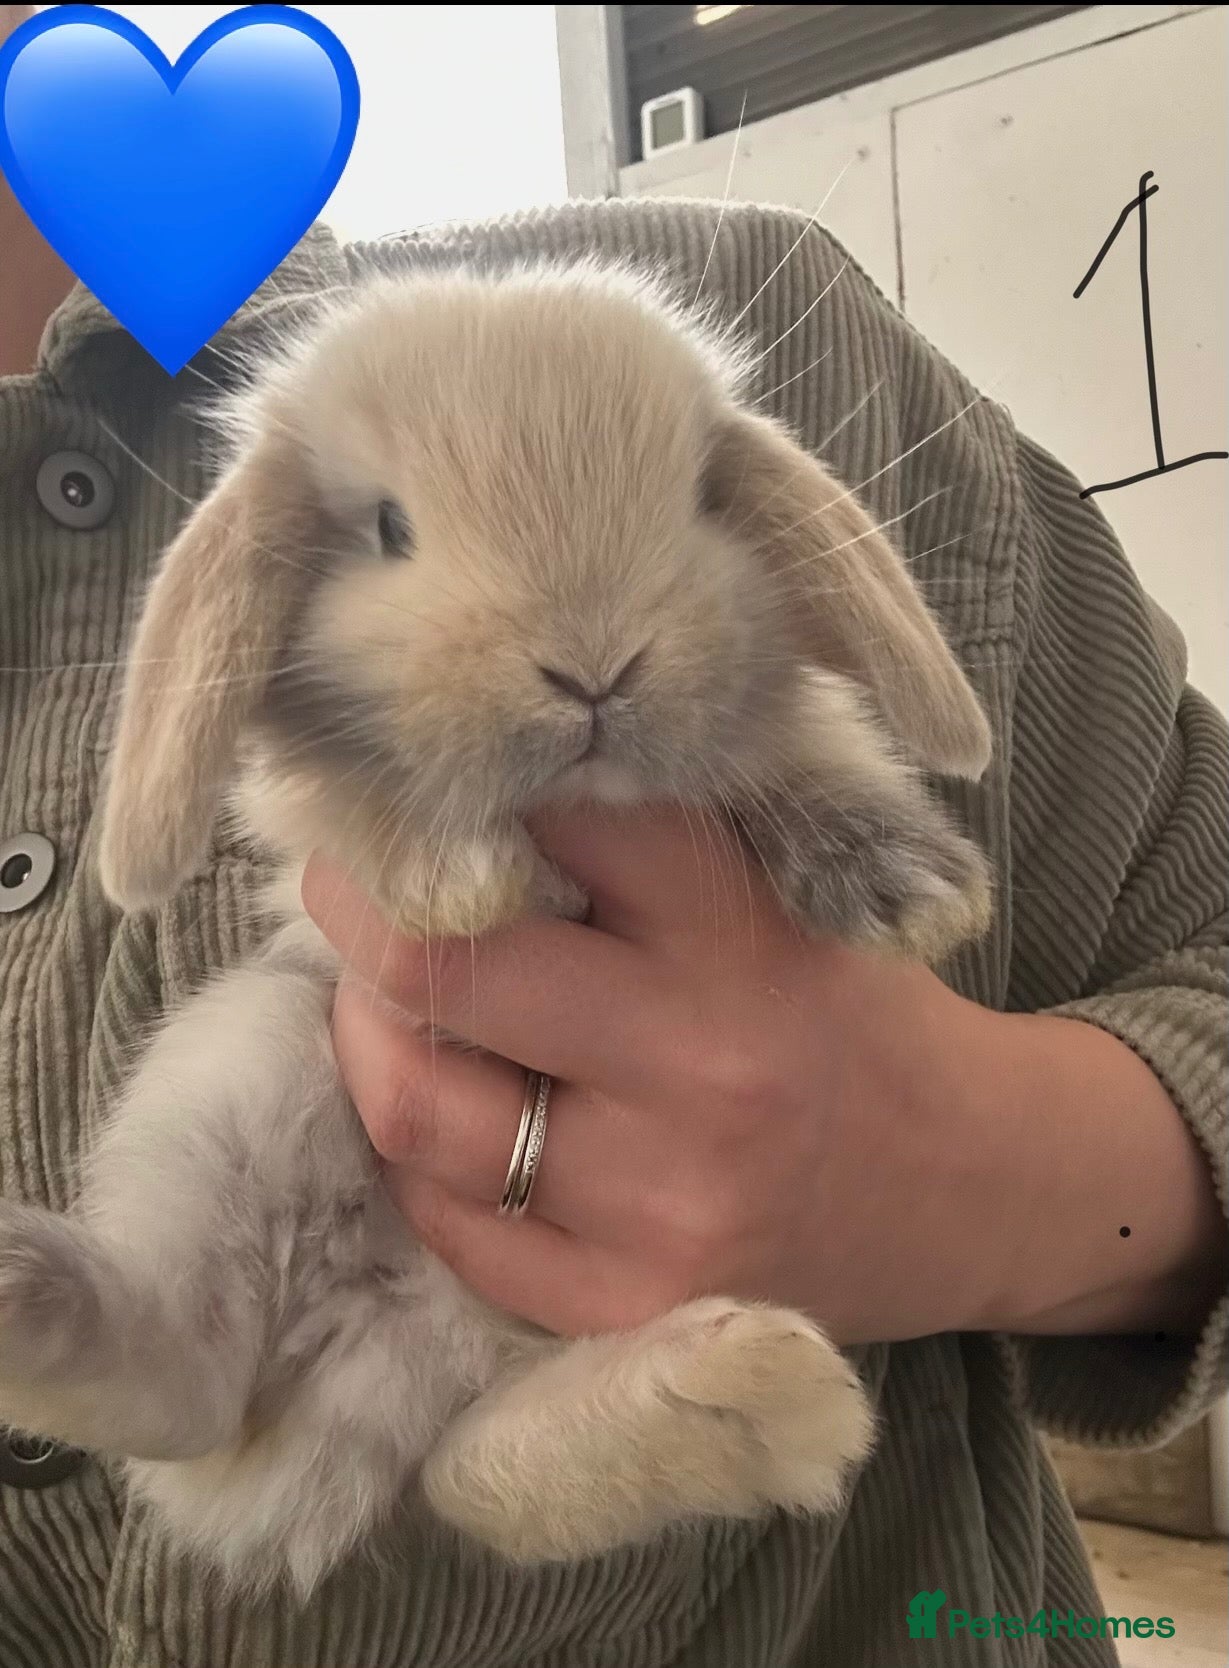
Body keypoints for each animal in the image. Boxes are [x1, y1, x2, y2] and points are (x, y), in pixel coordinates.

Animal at [0, 262, 993, 1598]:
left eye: (697, 498)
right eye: (387, 529)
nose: (593, 667)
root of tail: (380, 1351)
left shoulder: (772, 732)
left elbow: (798, 750)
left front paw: (910, 886)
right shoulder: (311, 817)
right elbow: (364, 809)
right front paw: (462, 876)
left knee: (466, 1472)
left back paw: (747, 1395)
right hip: (249, 1062)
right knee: (195, 1378)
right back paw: (25, 1284)